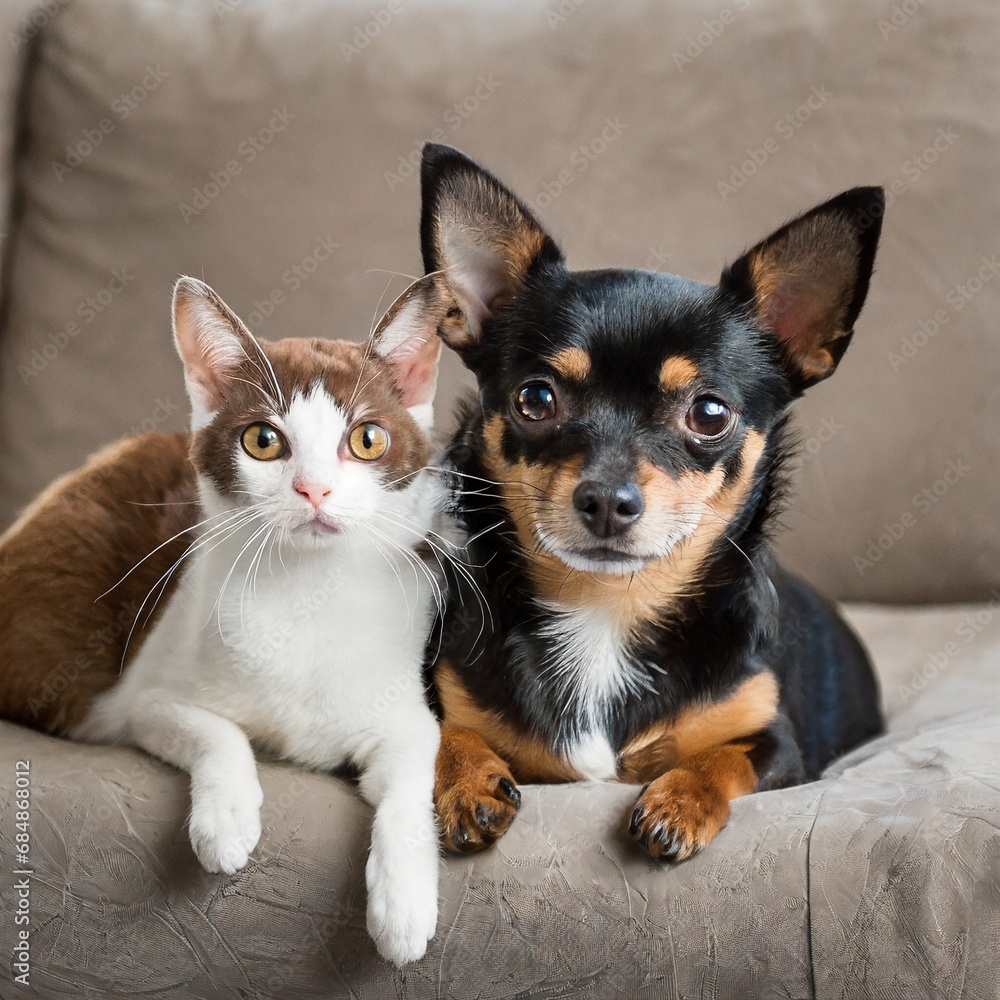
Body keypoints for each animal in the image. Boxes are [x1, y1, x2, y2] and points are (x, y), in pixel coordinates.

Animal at [0, 278, 450, 964]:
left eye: (367, 439)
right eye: (263, 441)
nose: (314, 489)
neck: (307, 593)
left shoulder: (406, 715)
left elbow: (409, 784)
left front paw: (403, 906)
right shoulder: (142, 700)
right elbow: (215, 733)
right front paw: (225, 821)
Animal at [420, 145, 884, 864]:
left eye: (710, 414)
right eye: (535, 400)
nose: (607, 500)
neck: (607, 608)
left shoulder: (779, 744)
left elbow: (724, 757)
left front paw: (678, 802)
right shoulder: (440, 700)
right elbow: (442, 735)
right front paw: (468, 783)